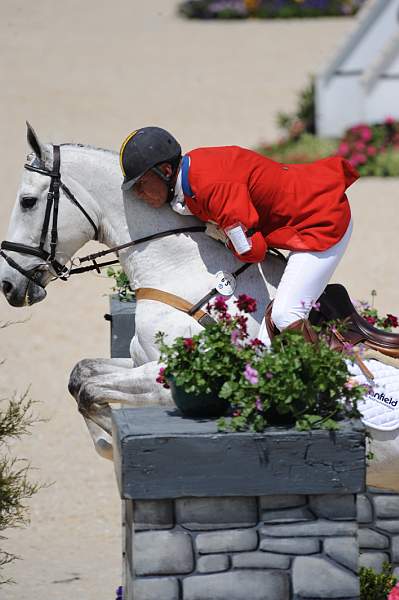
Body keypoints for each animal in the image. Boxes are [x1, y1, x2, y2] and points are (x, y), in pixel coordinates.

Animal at [2, 124, 399, 490]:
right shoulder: (141, 360)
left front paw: (109, 444)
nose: (8, 285)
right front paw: (105, 442)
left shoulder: (174, 383)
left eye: (27, 201)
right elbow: (81, 375)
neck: (179, 269)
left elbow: (90, 390)